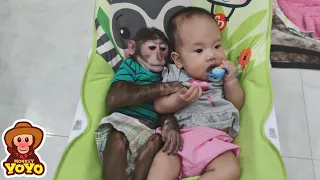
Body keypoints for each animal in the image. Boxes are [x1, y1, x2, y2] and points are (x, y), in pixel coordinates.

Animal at [95, 27, 184, 180]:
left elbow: (161, 113)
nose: (159, 56)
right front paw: (170, 86)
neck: (146, 69)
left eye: (163, 49)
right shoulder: (127, 66)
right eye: (152, 47)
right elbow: (115, 95)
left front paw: (170, 127)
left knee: (155, 139)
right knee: (118, 136)